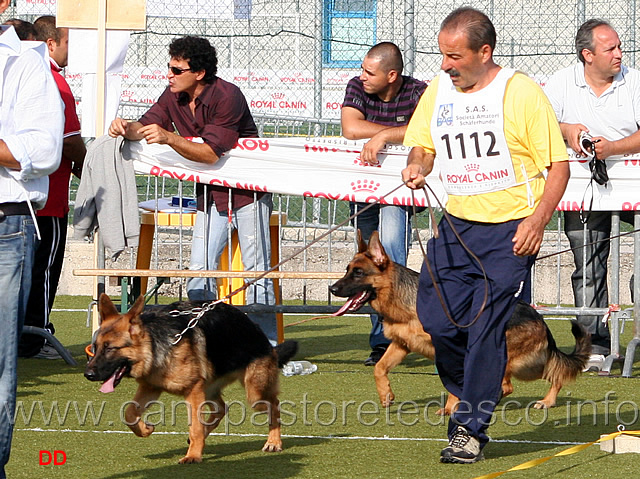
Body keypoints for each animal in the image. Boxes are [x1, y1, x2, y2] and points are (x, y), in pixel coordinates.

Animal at [83, 292, 300, 464]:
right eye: (96, 347)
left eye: (110, 349)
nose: (88, 374)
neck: (154, 344)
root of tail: (262, 336)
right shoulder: (151, 388)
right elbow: (129, 413)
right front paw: (144, 429)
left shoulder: (193, 391)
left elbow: (194, 427)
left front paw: (193, 455)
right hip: (211, 389)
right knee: (221, 409)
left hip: (255, 394)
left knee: (274, 405)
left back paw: (274, 442)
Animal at [330, 231, 592, 414]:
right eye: (347, 270)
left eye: (358, 273)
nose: (332, 288)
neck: (405, 301)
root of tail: (538, 317)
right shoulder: (401, 345)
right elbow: (379, 368)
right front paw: (386, 395)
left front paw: (449, 408)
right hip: (523, 363)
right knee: (552, 371)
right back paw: (543, 401)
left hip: (510, 359)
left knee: (516, 383)